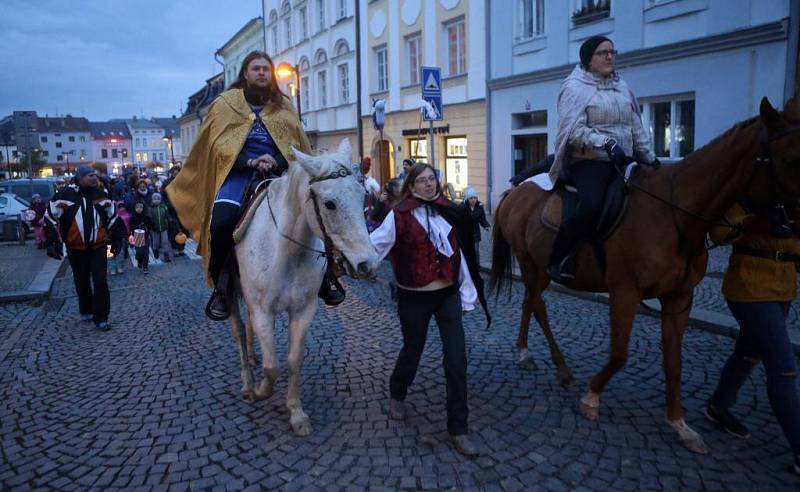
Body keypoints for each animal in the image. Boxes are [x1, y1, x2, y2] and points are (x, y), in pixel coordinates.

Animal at [231, 137, 382, 434]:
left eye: (363, 198)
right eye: (330, 203)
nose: (368, 264)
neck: (286, 251)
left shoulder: (303, 310)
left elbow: (293, 360)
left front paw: (296, 412)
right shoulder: (264, 310)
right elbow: (272, 366)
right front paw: (261, 390)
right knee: (240, 330)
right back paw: (246, 381)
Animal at [490, 97, 800, 454]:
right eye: (790, 159)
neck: (673, 214)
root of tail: (514, 192)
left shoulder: (679, 299)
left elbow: (673, 363)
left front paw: (679, 424)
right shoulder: (625, 294)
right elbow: (619, 354)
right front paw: (591, 397)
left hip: (539, 267)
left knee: (529, 301)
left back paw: (527, 353)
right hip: (529, 262)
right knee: (538, 305)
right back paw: (559, 366)